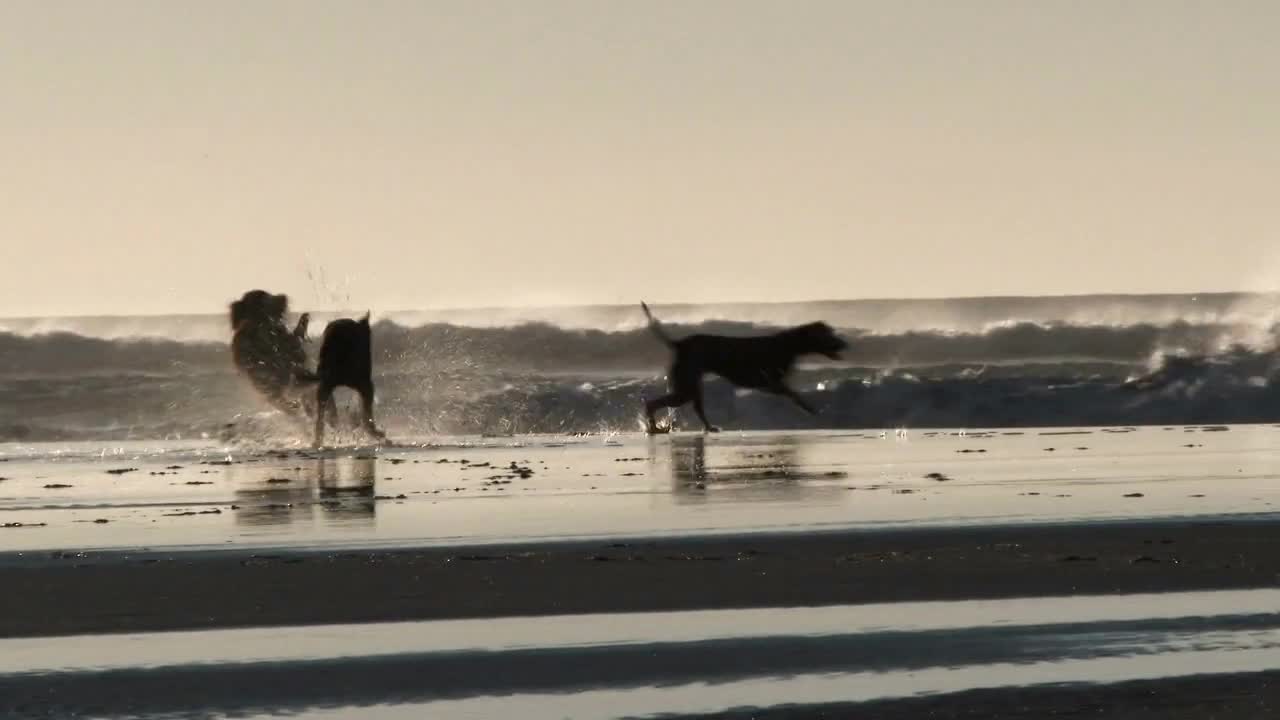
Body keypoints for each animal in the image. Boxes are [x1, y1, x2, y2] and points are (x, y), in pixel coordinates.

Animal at [645, 301, 844, 430]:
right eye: (829, 334)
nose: (845, 344)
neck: (788, 345)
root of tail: (679, 343)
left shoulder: (770, 384)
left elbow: (791, 393)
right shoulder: (769, 382)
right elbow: (793, 394)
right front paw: (809, 408)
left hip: (692, 385)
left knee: (696, 407)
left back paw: (709, 427)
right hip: (686, 387)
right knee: (652, 403)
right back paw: (654, 427)